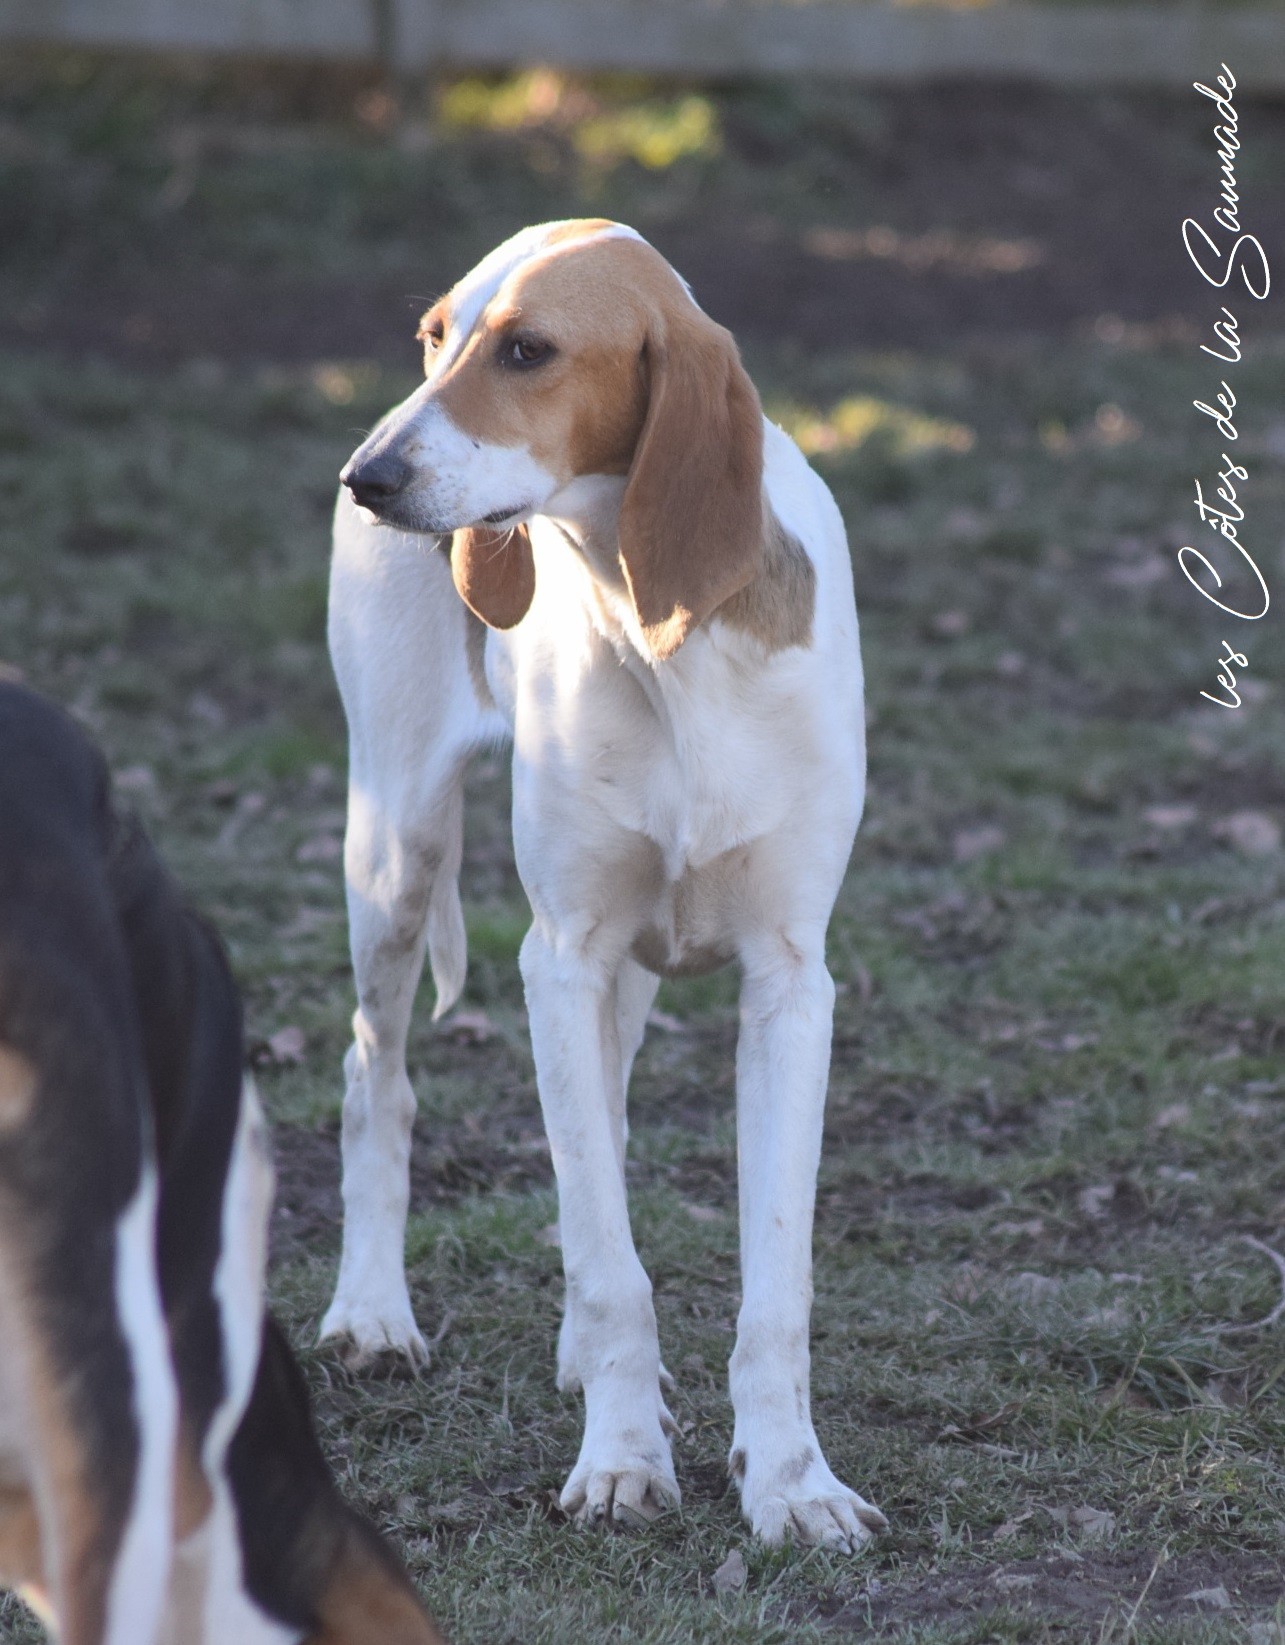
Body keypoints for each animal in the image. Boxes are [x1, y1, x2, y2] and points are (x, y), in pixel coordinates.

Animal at [320, 222, 881, 1552]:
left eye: (527, 351)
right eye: (434, 337)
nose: (364, 478)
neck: (659, 632)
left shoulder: (790, 987)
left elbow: (772, 1280)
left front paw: (792, 1481)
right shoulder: (560, 956)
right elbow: (605, 1252)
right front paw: (623, 1460)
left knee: (603, 1134)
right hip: (396, 852)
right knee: (378, 1078)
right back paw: (371, 1313)